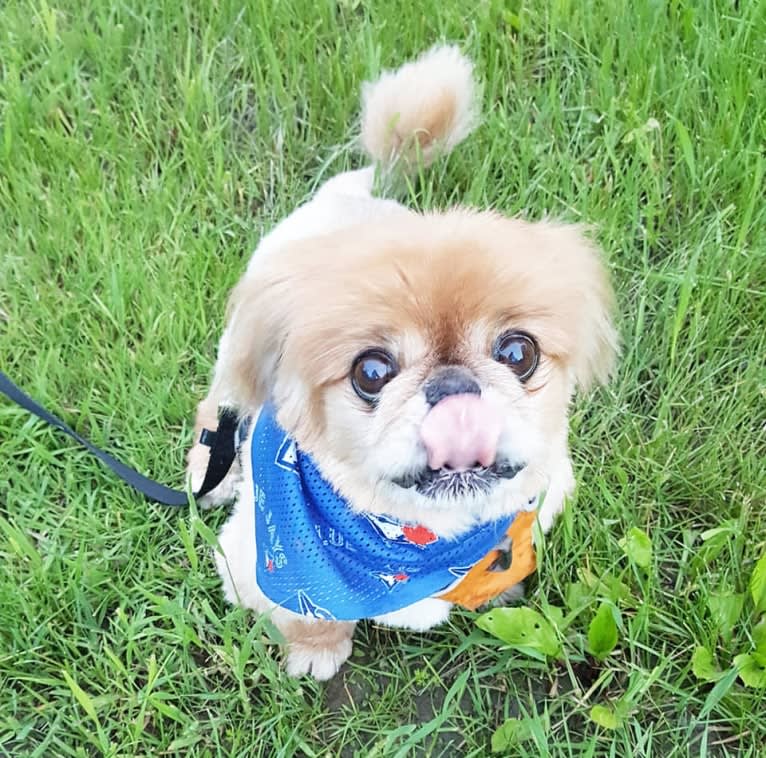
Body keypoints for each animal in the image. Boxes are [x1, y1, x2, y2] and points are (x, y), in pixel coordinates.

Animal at [189, 46, 620, 684]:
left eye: (518, 353)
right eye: (371, 372)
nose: (453, 386)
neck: (415, 540)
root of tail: (350, 192)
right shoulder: (254, 564)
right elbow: (305, 614)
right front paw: (316, 651)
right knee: (218, 413)